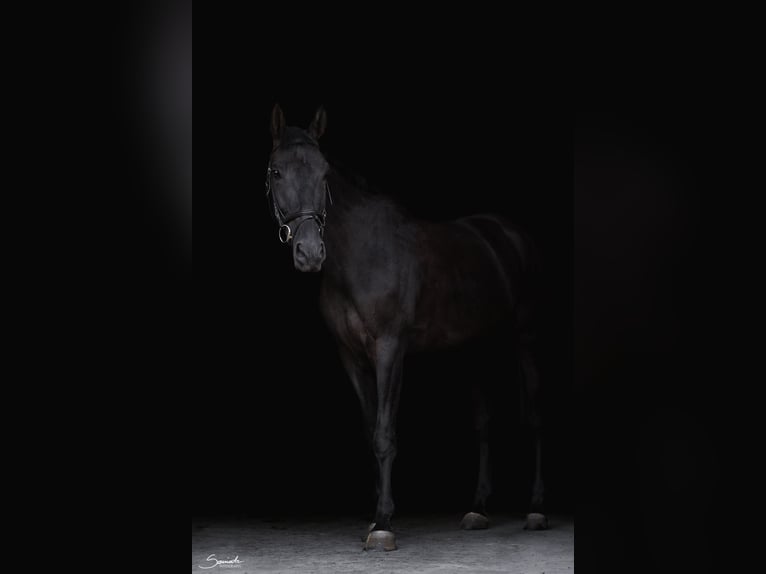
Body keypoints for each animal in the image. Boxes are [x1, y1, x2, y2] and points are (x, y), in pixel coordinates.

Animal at [265, 104, 548, 551]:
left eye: (324, 173)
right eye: (276, 172)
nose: (310, 253)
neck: (358, 254)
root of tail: (511, 234)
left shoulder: (389, 349)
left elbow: (385, 434)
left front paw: (383, 523)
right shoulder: (351, 357)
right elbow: (369, 431)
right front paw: (374, 514)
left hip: (527, 337)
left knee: (534, 416)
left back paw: (535, 509)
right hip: (475, 347)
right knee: (484, 422)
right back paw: (478, 509)